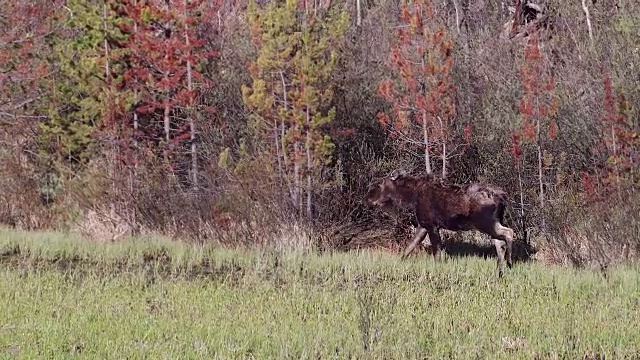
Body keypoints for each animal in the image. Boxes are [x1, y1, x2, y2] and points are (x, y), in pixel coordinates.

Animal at [364, 170, 516, 278]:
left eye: (379, 184)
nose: (367, 199)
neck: (411, 196)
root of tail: (503, 197)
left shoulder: (432, 225)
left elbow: (436, 253)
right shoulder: (424, 225)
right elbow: (410, 246)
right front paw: (399, 262)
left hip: (485, 223)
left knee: (509, 233)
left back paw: (509, 263)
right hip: (494, 222)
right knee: (500, 245)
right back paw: (499, 272)